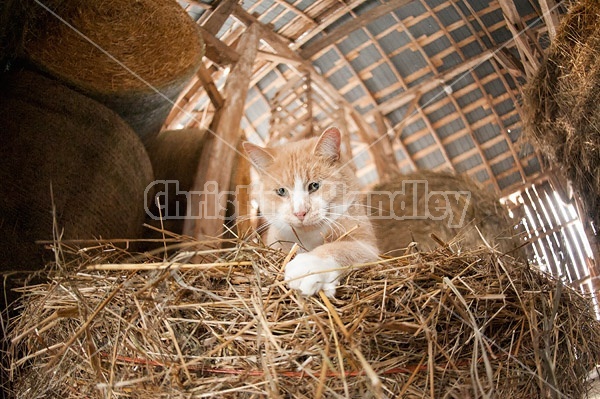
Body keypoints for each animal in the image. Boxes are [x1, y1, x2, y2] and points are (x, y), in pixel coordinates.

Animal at [241, 126, 378, 298]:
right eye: (281, 191)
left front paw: (308, 266)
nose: (300, 213)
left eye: (314, 186)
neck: (307, 236)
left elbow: (339, 248)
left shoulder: (368, 247)